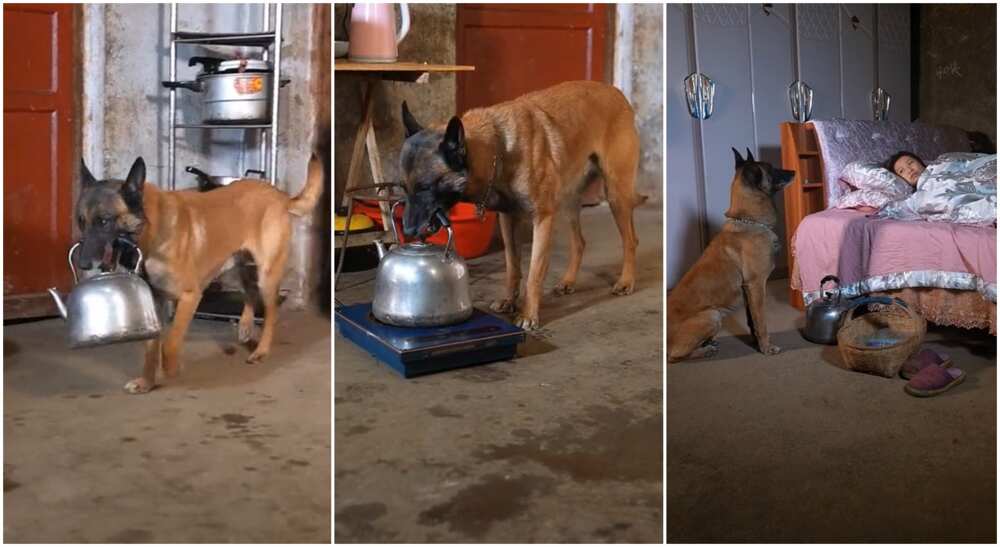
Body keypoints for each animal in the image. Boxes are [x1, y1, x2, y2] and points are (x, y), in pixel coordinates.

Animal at [76, 154, 324, 394]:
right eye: (80, 221)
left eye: (104, 221)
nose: (83, 263)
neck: (152, 230)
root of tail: (279, 194)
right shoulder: (154, 304)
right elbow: (151, 348)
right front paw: (146, 382)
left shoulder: (190, 296)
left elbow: (170, 342)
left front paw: (171, 368)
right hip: (240, 266)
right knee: (250, 292)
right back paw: (245, 325)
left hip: (267, 274)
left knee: (271, 313)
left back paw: (261, 350)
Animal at [394, 81, 644, 330]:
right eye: (404, 188)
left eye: (425, 187)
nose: (407, 230)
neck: (498, 150)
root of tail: (616, 92)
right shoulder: (508, 220)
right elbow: (513, 267)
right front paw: (509, 301)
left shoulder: (542, 219)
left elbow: (534, 273)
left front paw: (529, 314)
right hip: (567, 203)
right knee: (580, 242)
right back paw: (568, 281)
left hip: (615, 194)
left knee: (631, 240)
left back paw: (626, 281)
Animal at [668, 149, 792, 364]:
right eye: (771, 168)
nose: (793, 171)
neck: (749, 220)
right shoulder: (757, 286)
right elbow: (762, 322)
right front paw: (767, 348)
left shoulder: (748, 290)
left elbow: (752, 321)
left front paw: (756, 344)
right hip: (712, 315)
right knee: (674, 356)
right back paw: (705, 350)